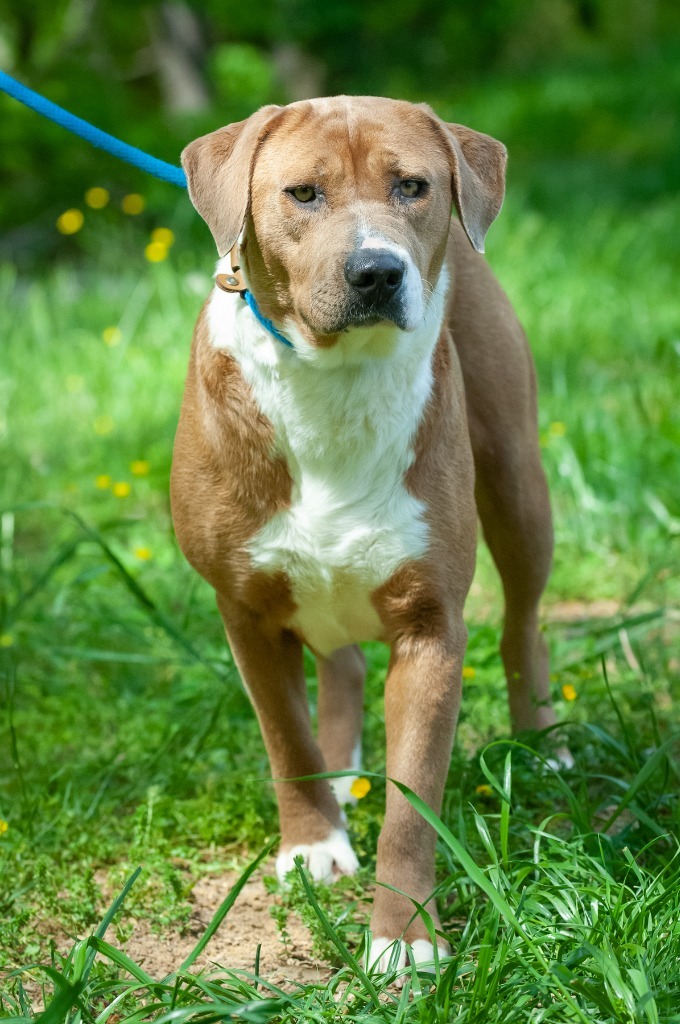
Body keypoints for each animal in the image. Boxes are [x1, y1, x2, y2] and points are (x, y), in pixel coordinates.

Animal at [173, 97, 561, 974]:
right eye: (303, 193)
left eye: (412, 185)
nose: (377, 270)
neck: (335, 381)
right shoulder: (243, 608)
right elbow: (286, 739)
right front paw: (312, 847)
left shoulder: (430, 626)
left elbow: (413, 806)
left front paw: (404, 941)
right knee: (341, 664)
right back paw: (342, 769)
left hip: (518, 484)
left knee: (522, 621)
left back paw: (541, 742)